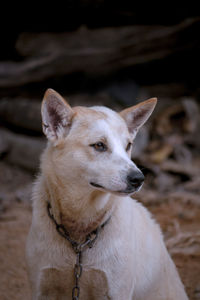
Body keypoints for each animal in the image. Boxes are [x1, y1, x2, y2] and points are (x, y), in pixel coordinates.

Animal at [26, 89, 188, 300]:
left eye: (128, 146)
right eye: (99, 145)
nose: (139, 178)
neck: (79, 232)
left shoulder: (116, 290)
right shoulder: (42, 286)